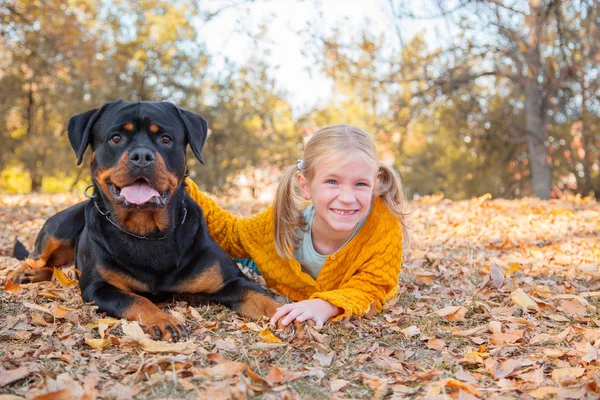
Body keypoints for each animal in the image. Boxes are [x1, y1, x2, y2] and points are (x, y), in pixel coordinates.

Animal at [8, 100, 282, 340]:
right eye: (116, 138)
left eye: (165, 139)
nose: (141, 155)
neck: (148, 231)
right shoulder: (98, 287)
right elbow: (137, 299)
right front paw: (162, 320)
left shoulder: (232, 280)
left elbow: (265, 300)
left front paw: (290, 318)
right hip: (59, 229)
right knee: (34, 259)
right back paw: (24, 275)